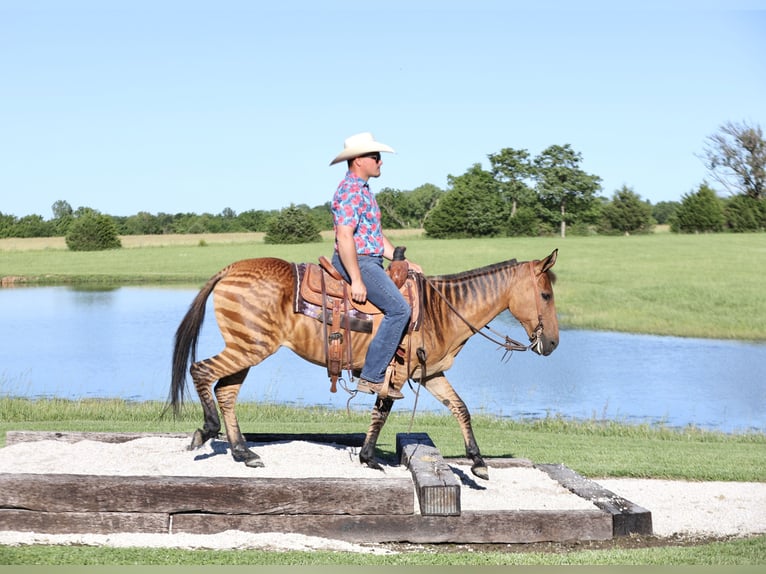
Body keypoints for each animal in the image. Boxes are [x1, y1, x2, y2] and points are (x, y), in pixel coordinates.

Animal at [171, 250, 560, 480]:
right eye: (545, 295)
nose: (554, 344)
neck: (440, 310)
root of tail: (231, 268)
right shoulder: (397, 373)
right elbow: (382, 409)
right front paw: (369, 457)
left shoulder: (431, 373)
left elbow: (460, 408)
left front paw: (478, 463)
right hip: (250, 347)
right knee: (203, 372)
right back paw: (207, 431)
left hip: (246, 347)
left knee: (227, 392)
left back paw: (243, 452)